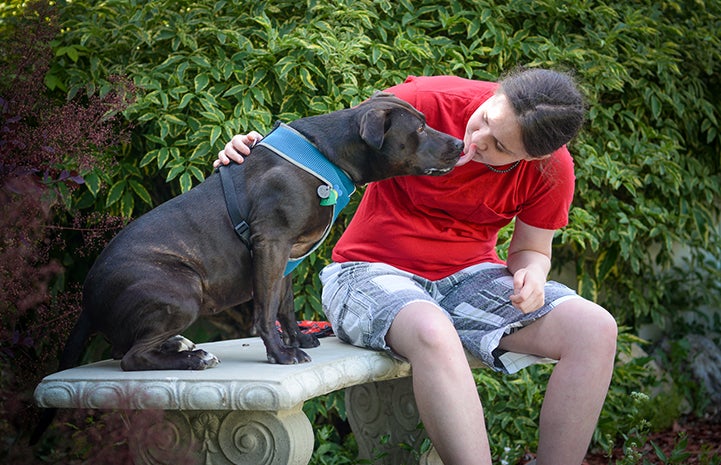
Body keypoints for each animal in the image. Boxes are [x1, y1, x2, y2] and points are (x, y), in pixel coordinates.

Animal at [60, 91, 462, 374]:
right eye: (420, 129)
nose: (459, 143)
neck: (327, 154)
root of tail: (88, 299)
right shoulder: (271, 244)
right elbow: (265, 311)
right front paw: (281, 353)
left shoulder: (288, 255)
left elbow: (285, 305)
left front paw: (299, 339)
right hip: (184, 289)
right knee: (131, 357)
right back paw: (193, 359)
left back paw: (179, 346)